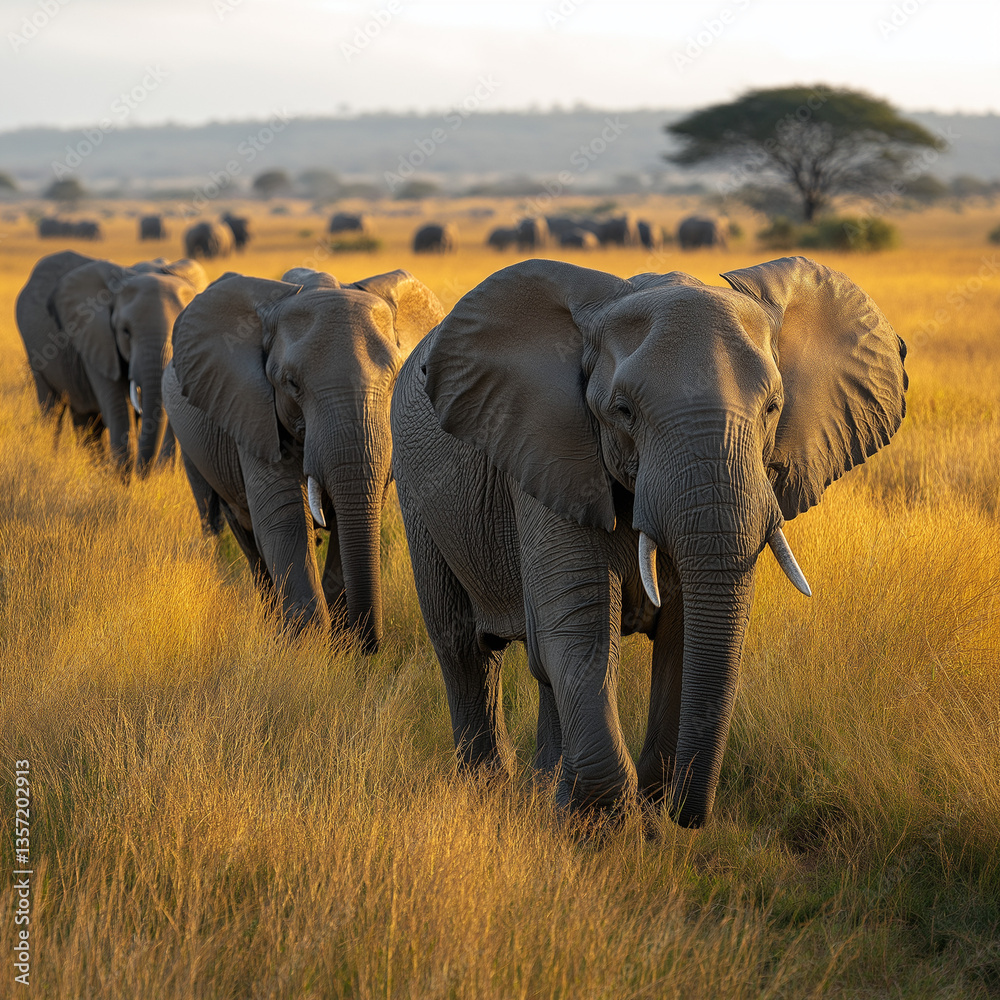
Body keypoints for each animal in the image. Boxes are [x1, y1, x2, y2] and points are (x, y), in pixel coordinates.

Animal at [15, 252, 207, 471]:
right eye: (125, 332)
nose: (143, 473)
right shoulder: (97, 339)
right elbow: (119, 412)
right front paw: (123, 478)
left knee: (86, 421)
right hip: (35, 353)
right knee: (52, 408)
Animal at [162, 267, 445, 649]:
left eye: (395, 378)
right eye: (291, 384)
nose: (371, 645)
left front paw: (339, 641)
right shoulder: (251, 410)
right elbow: (285, 515)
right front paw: (308, 647)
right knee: (236, 527)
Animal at [390, 256, 907, 827]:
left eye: (773, 408)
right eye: (623, 411)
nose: (688, 815)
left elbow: (680, 637)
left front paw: (643, 816)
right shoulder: (554, 455)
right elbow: (582, 629)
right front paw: (603, 826)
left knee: (538, 665)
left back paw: (543, 790)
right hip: (417, 493)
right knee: (464, 645)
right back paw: (489, 788)